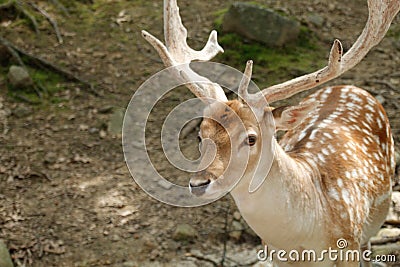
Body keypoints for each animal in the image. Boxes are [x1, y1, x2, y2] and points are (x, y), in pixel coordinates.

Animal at [142, 0, 398, 267]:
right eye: (200, 136)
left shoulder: (348, 244)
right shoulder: (273, 253)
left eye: (251, 138)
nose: (199, 184)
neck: (304, 240)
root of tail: (349, 87)